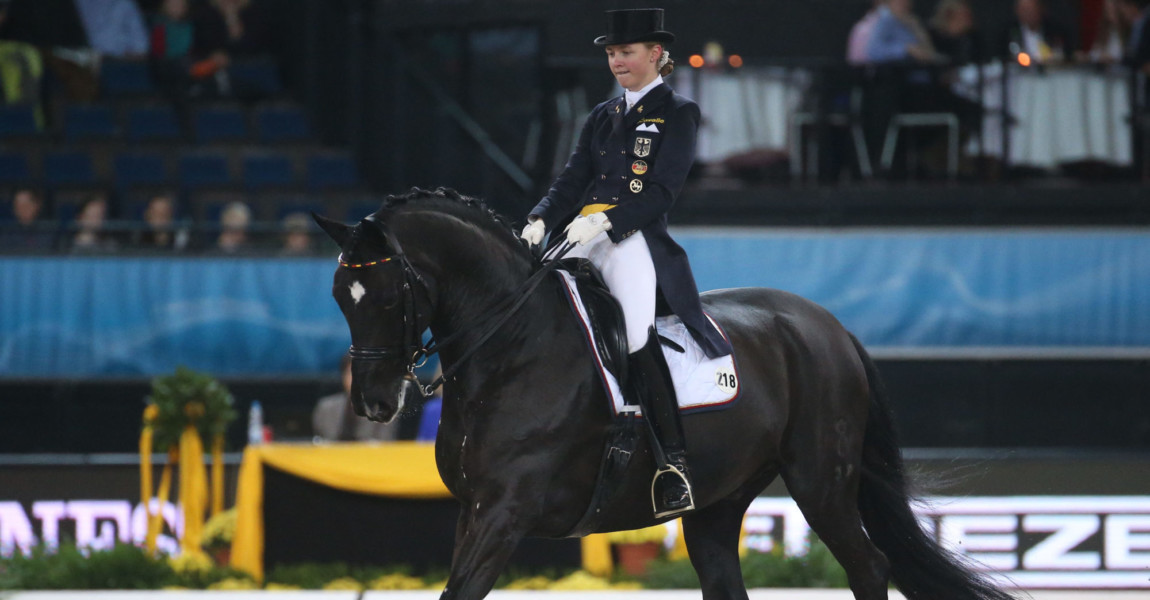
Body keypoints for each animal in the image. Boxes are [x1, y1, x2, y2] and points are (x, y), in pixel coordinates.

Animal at [312, 188, 1007, 597]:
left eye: (389, 297)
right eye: (339, 296)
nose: (375, 403)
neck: (513, 344)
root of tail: (828, 325)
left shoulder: (504, 511)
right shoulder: (473, 510)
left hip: (821, 483)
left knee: (869, 566)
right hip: (717, 504)